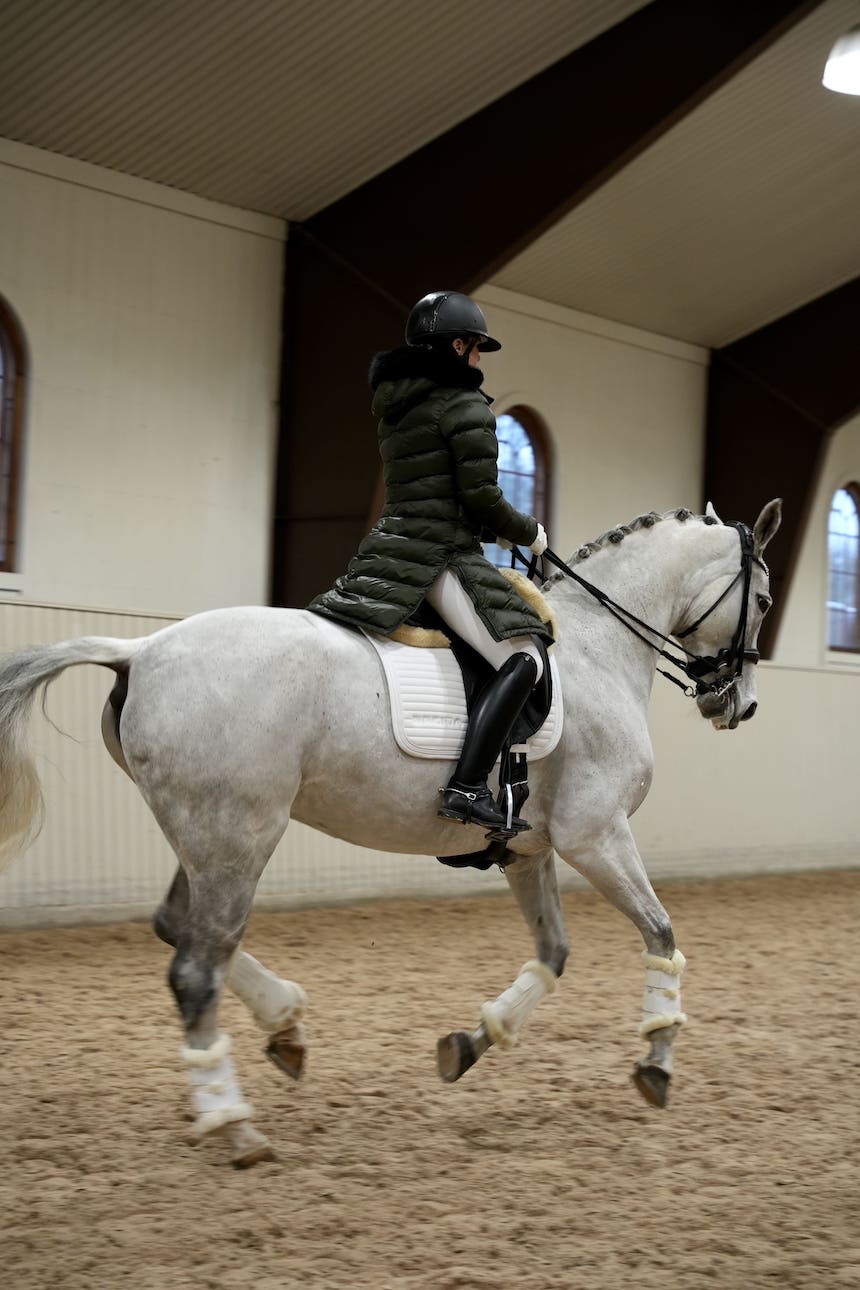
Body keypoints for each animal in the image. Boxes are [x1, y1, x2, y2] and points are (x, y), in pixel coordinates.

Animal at [0, 497, 783, 1166]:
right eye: (764, 602)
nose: (738, 705)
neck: (597, 649)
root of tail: (143, 650)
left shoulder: (527, 850)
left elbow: (554, 953)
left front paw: (470, 1043)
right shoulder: (596, 835)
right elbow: (662, 934)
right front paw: (656, 1061)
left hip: (207, 836)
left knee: (178, 928)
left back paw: (285, 1027)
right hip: (237, 836)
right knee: (197, 968)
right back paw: (236, 1125)